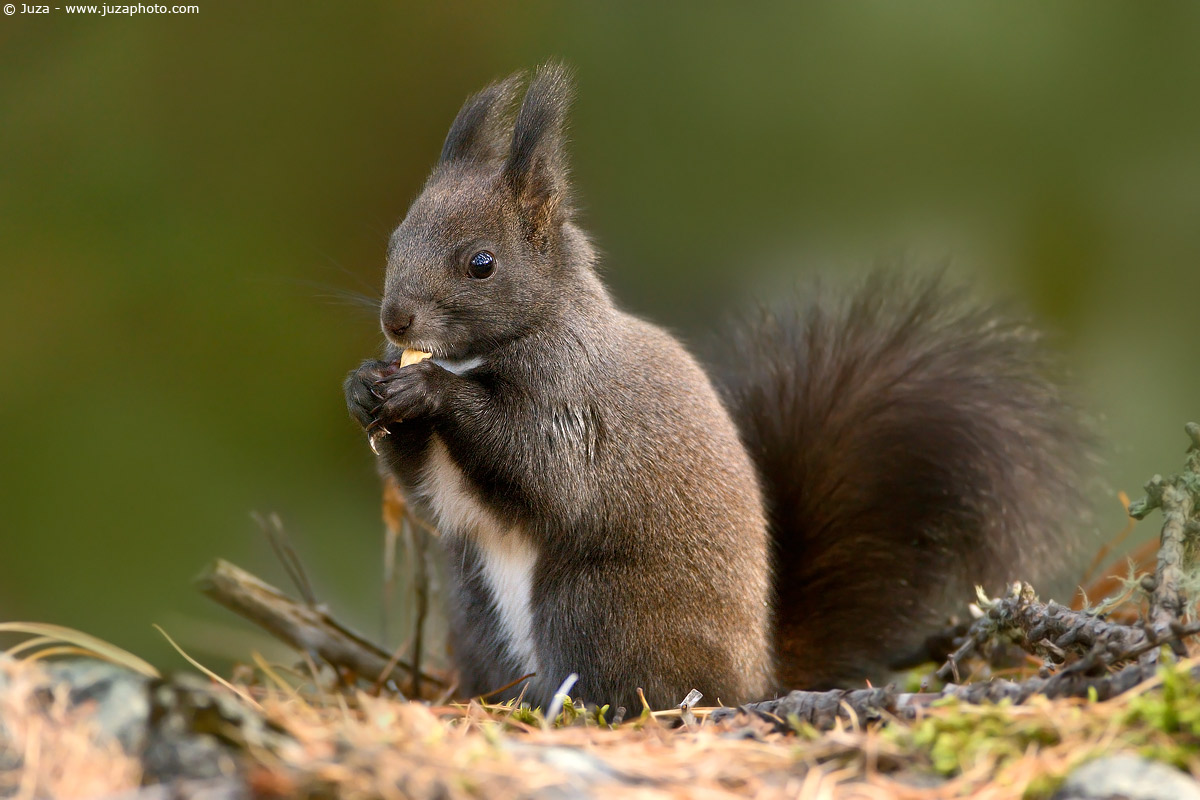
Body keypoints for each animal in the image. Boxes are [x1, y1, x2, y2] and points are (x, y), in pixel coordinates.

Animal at [344, 64, 1086, 711]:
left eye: (481, 263)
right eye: (395, 240)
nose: (395, 320)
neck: (493, 348)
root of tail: (758, 678)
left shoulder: (575, 399)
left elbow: (545, 470)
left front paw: (430, 391)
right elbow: (432, 497)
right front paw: (364, 388)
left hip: (600, 607)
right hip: (476, 611)